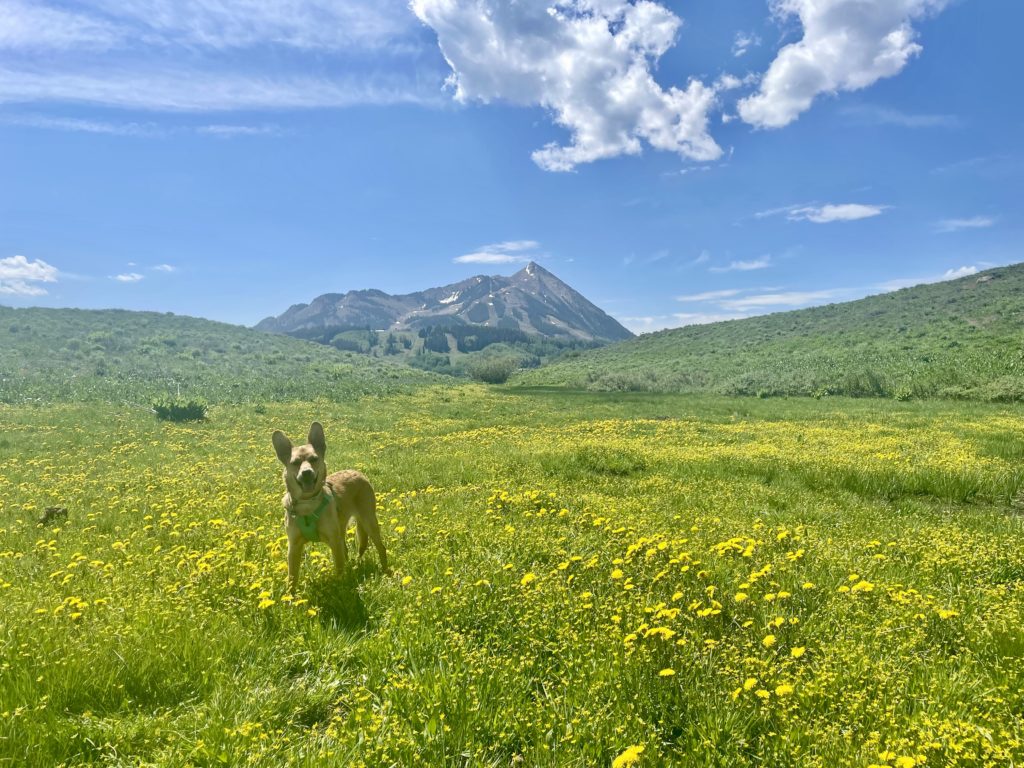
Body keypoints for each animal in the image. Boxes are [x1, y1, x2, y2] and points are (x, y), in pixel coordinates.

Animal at [272, 423, 387, 593]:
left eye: (314, 459)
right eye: (295, 463)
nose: (306, 473)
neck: (308, 504)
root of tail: (358, 473)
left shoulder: (333, 541)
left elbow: (339, 568)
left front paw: (340, 589)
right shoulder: (293, 547)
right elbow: (292, 577)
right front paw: (290, 597)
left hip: (369, 522)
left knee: (381, 547)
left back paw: (385, 571)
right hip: (343, 530)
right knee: (347, 551)